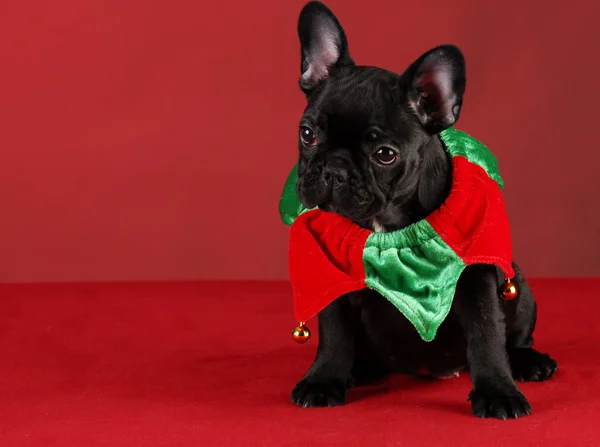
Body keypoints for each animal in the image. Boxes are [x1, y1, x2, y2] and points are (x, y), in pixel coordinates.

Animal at [290, 0, 556, 420]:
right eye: (307, 134)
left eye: (385, 154)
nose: (333, 170)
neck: (386, 226)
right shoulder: (336, 283)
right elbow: (334, 334)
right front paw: (324, 379)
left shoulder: (476, 281)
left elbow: (486, 335)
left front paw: (497, 391)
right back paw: (357, 370)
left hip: (523, 290)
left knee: (514, 338)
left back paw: (529, 362)